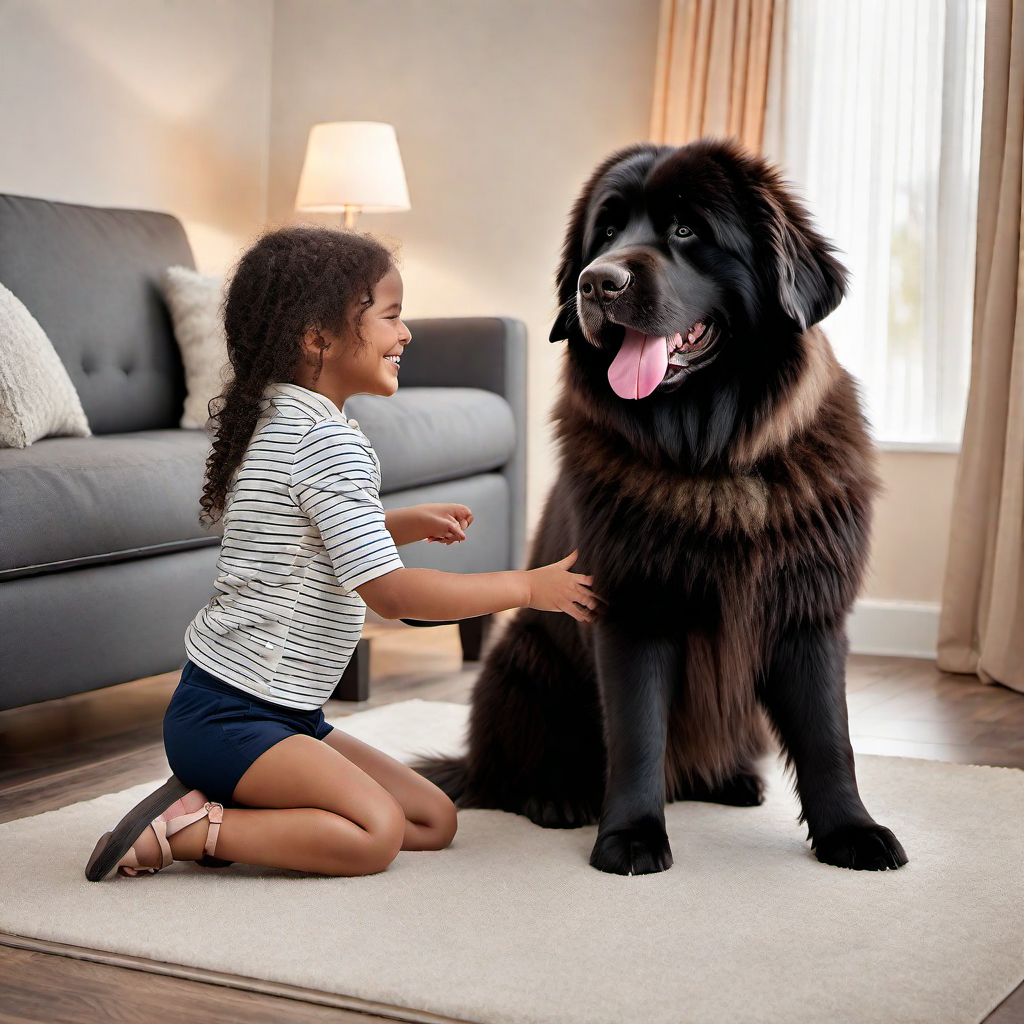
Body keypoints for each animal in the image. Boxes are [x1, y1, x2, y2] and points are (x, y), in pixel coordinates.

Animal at [419, 136, 909, 876]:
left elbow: (829, 736)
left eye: (685, 230)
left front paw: (851, 831)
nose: (597, 283)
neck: (711, 459)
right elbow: (637, 734)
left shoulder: (809, 612)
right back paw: (557, 797)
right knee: (509, 771)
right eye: (606, 233)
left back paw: (731, 780)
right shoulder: (631, 609)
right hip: (524, 658)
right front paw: (630, 837)